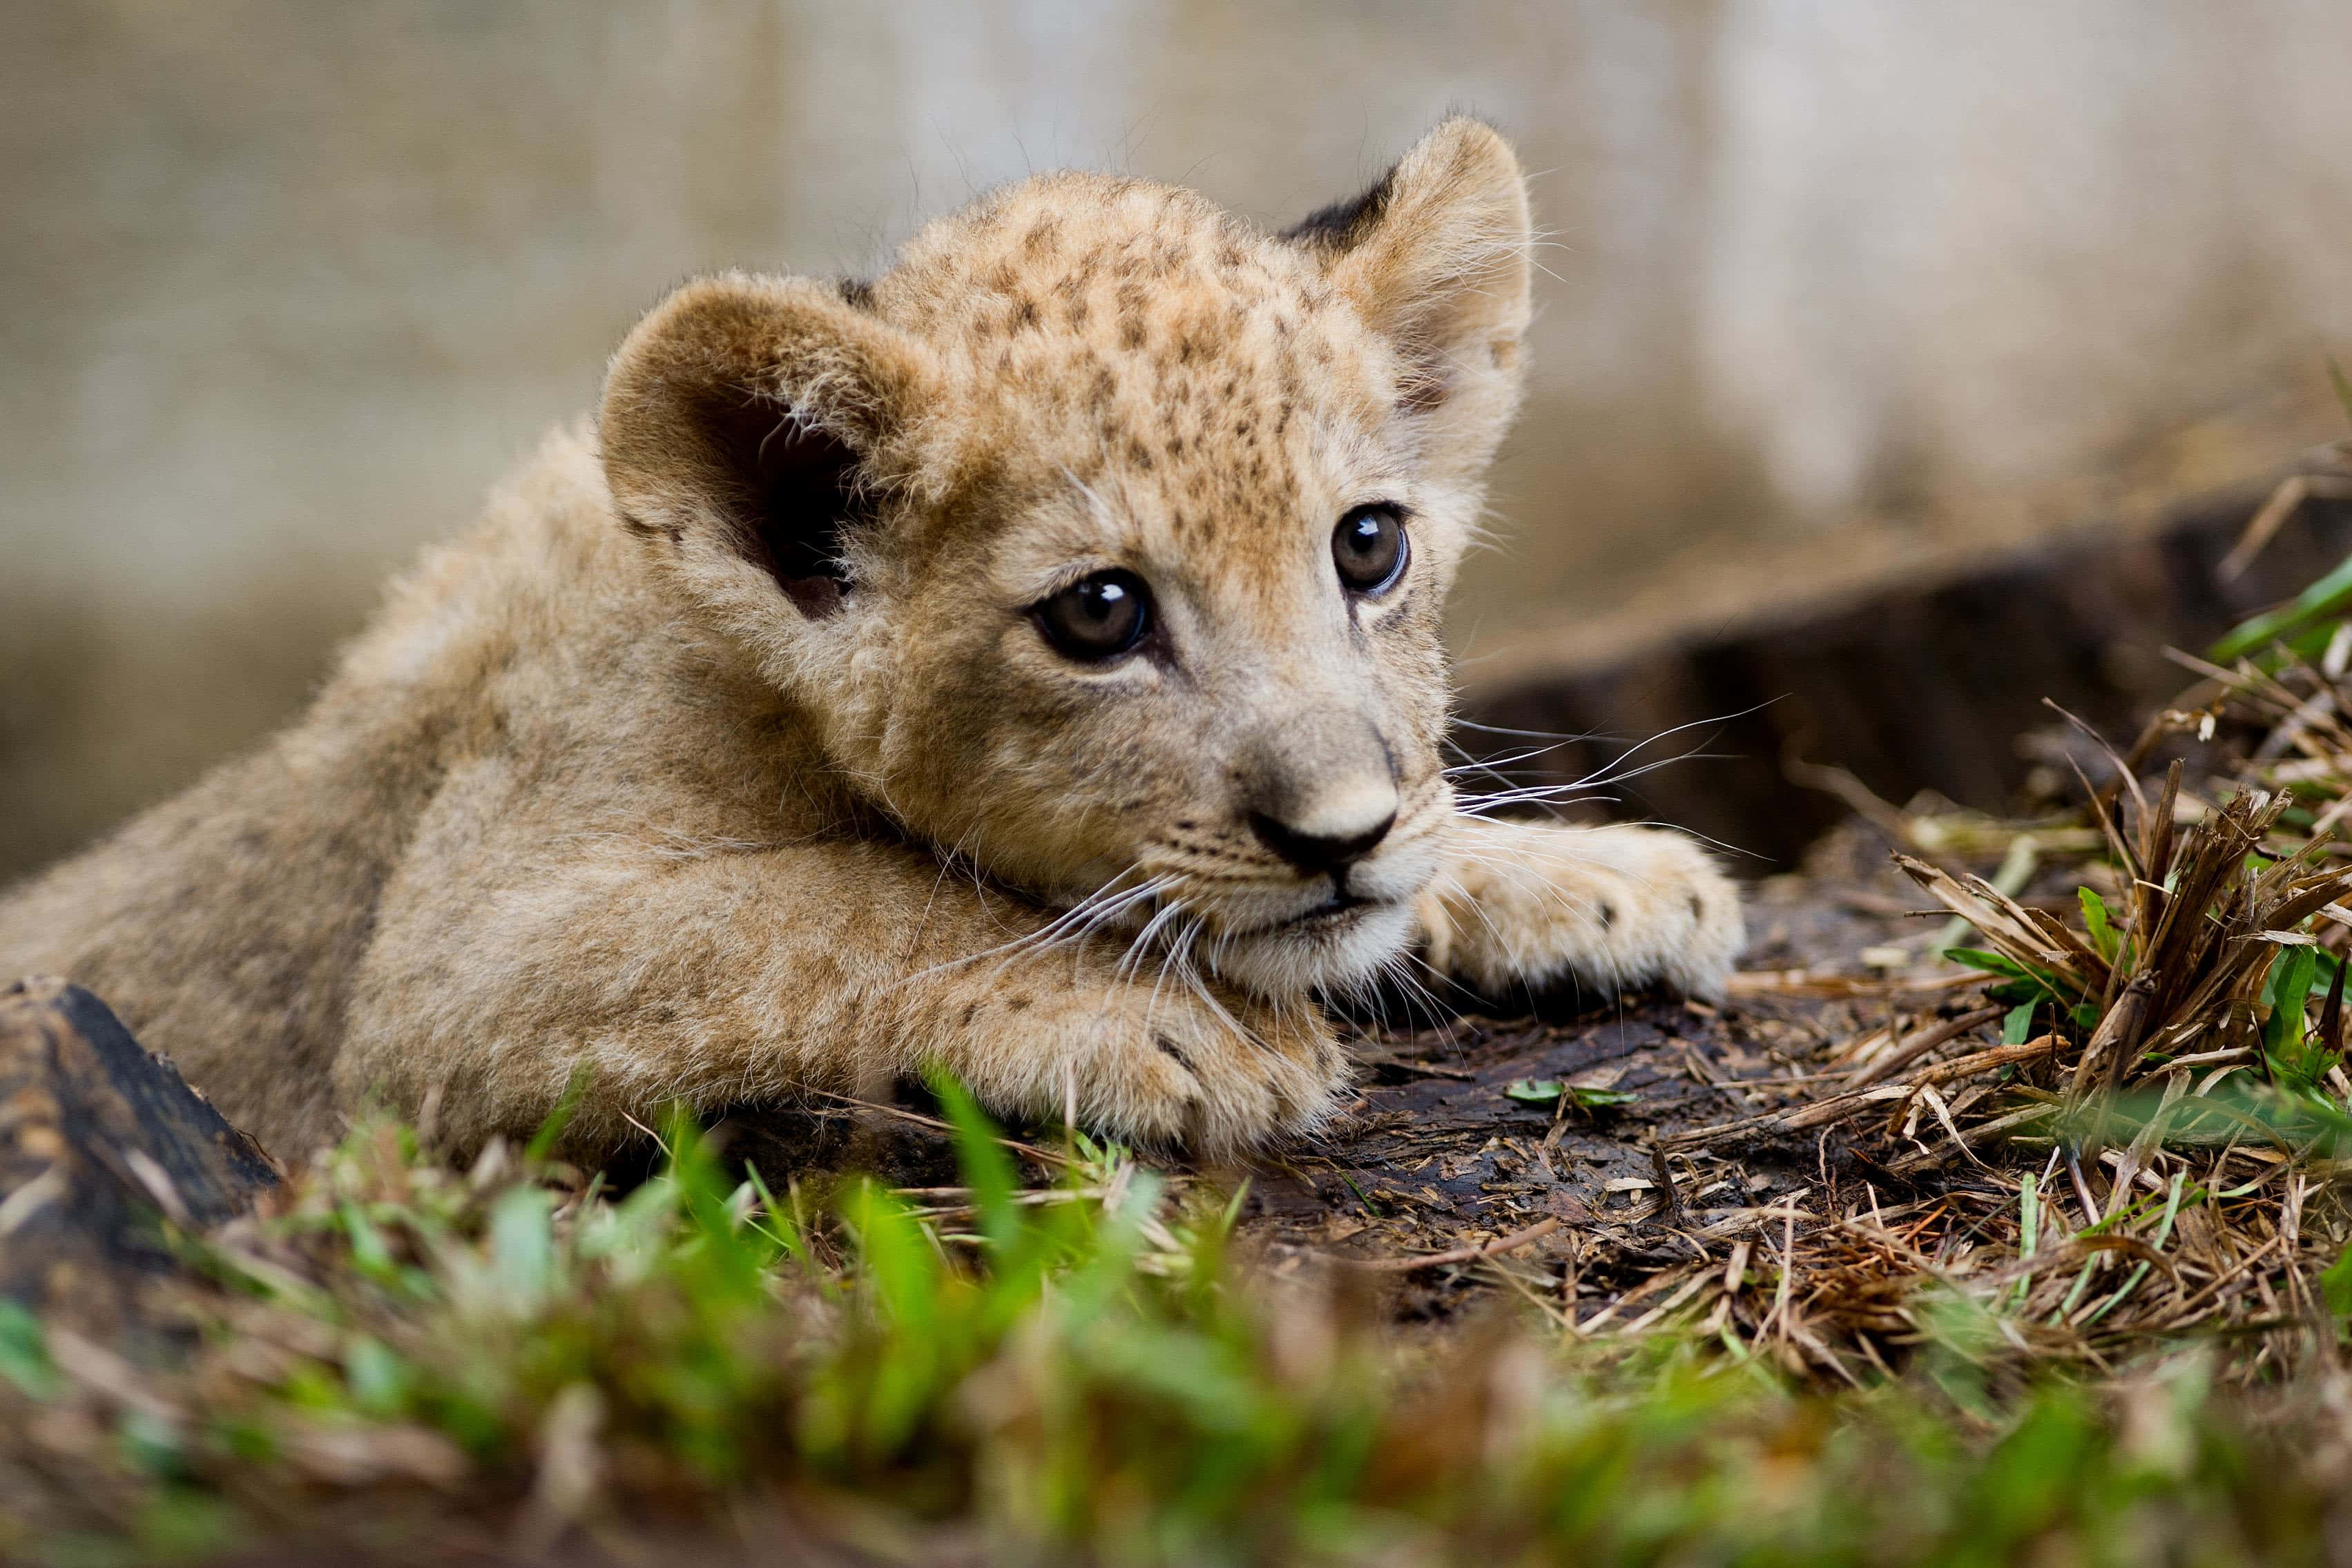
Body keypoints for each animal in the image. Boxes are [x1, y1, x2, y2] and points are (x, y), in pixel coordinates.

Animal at [0, 119, 1742, 1163]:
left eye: (1366, 545)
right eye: (1099, 614)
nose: (1340, 837)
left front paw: (1585, 874)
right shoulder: (455, 965)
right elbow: (827, 901)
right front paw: (1167, 1017)